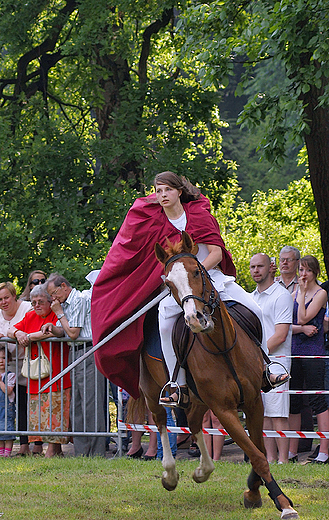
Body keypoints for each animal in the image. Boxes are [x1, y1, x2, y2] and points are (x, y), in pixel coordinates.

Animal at [131, 233, 298, 520]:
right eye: (168, 283)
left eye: (197, 271)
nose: (195, 319)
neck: (223, 347)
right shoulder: (224, 409)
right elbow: (257, 455)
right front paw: (281, 503)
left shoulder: (253, 402)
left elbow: (258, 448)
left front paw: (254, 492)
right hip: (153, 392)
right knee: (162, 423)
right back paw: (170, 474)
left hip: (198, 400)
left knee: (194, 423)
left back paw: (203, 470)